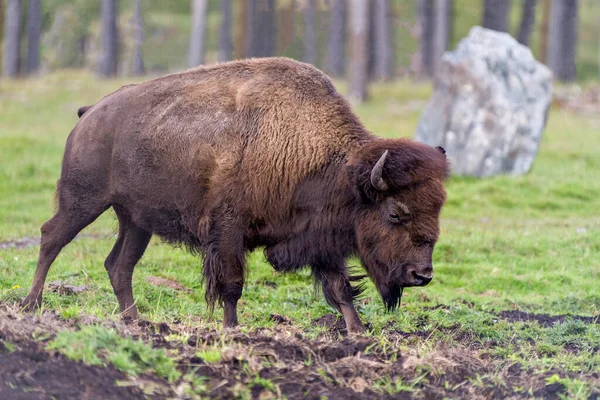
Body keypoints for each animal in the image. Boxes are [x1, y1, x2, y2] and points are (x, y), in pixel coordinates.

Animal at [21, 57, 448, 334]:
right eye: (395, 213)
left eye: (437, 211)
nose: (422, 275)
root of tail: (91, 112)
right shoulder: (228, 229)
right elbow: (232, 283)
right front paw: (231, 329)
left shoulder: (319, 235)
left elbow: (340, 287)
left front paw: (357, 332)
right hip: (84, 201)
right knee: (51, 237)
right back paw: (32, 304)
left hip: (135, 220)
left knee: (118, 264)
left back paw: (134, 320)